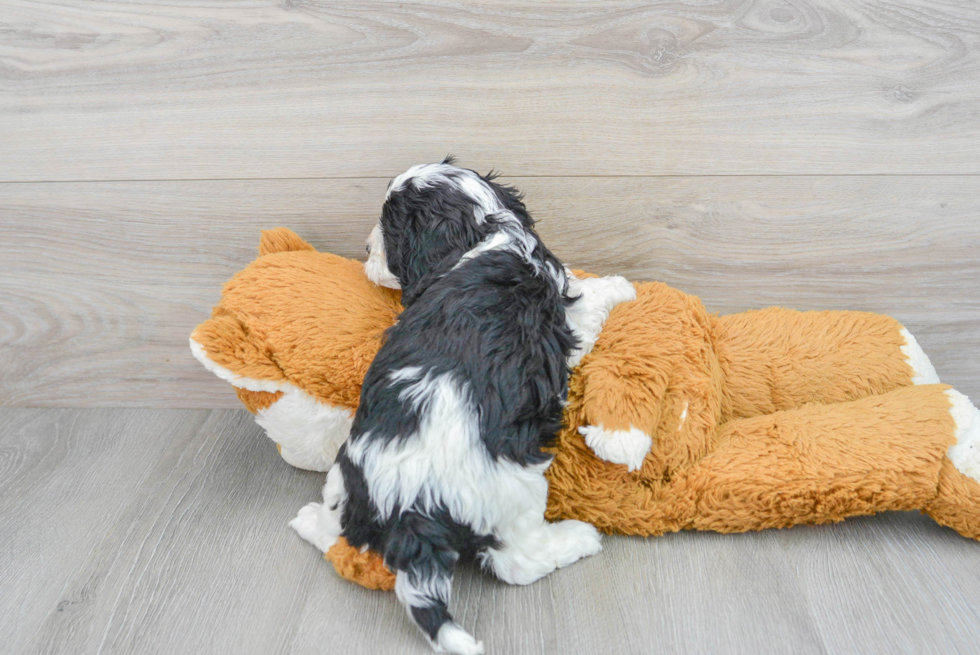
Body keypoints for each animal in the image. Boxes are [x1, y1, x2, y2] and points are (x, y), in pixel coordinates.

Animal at [290, 160, 636, 655]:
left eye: (389, 227)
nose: (366, 249)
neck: (486, 233)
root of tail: (412, 509)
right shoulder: (568, 316)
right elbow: (588, 296)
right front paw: (620, 285)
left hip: (349, 468)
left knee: (345, 530)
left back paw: (310, 521)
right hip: (515, 489)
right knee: (517, 562)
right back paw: (578, 538)